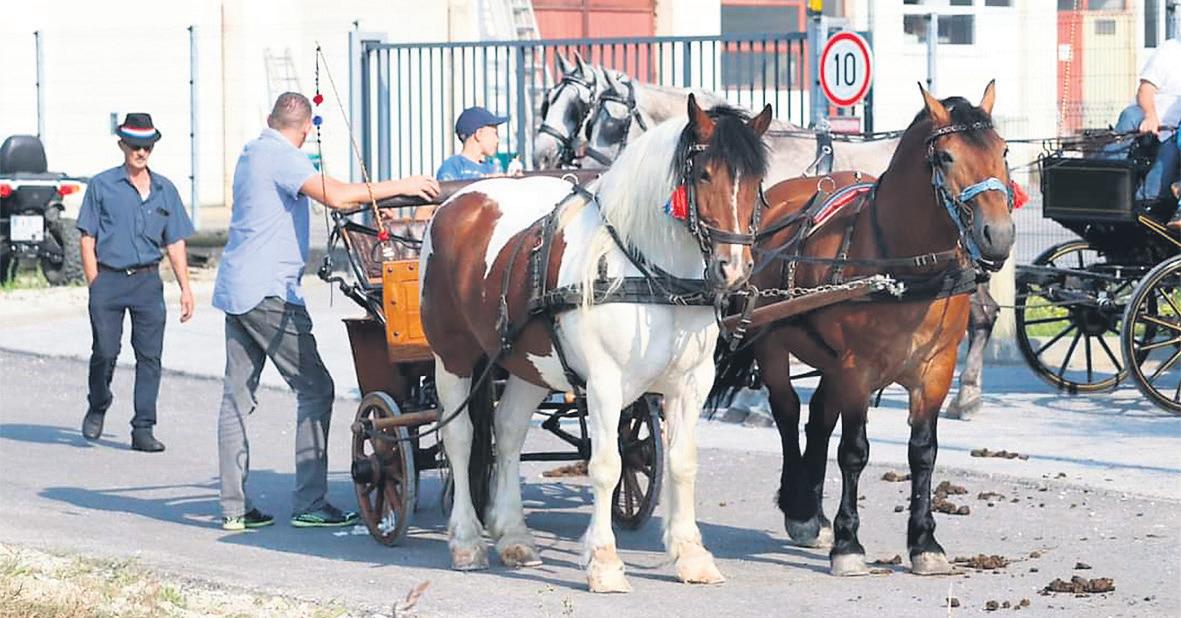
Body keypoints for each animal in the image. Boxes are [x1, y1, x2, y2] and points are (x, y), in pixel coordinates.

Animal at [421, 95, 773, 592]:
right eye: (704, 174)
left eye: (757, 181)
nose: (733, 268)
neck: (651, 275)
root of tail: (458, 201)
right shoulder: (605, 384)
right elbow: (606, 466)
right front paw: (604, 561)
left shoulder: (692, 383)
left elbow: (682, 462)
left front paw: (691, 555)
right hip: (452, 357)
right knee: (460, 437)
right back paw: (467, 541)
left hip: (528, 365)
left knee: (507, 434)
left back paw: (514, 536)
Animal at [712, 82, 1015, 576]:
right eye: (946, 157)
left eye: (1003, 151)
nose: (999, 235)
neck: (904, 267)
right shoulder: (858, 369)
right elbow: (854, 451)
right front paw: (848, 542)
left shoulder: (935, 370)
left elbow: (923, 451)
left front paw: (924, 541)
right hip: (773, 345)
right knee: (788, 412)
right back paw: (800, 505)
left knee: (817, 418)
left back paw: (811, 511)